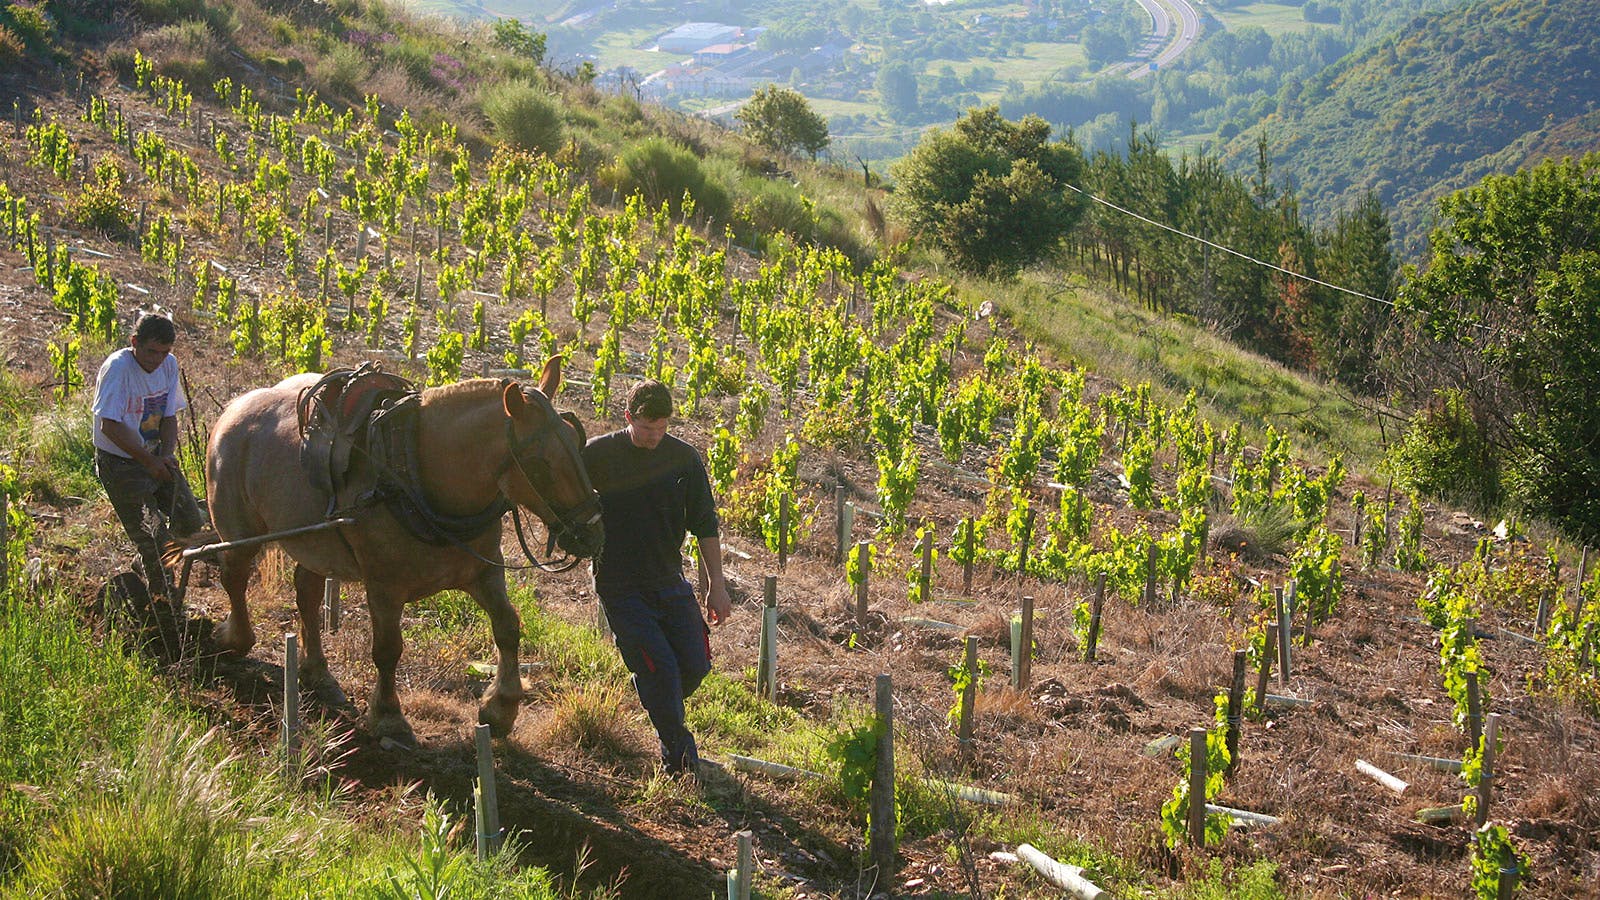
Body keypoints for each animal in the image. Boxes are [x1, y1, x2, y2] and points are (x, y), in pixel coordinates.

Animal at [201, 357, 601, 743]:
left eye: (576, 441)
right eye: (540, 463)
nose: (592, 532)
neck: (418, 473)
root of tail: (237, 404)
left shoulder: (483, 572)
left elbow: (507, 626)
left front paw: (500, 708)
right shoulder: (384, 587)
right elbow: (388, 649)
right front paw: (389, 717)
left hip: (315, 543)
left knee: (307, 594)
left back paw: (318, 673)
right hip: (239, 529)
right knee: (234, 576)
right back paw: (234, 639)